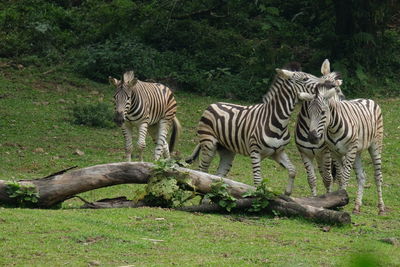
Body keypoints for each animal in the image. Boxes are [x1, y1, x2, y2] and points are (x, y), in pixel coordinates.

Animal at [187, 63, 334, 196]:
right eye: (304, 78)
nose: (329, 85)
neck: (278, 121)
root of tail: (212, 104)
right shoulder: (255, 152)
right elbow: (258, 181)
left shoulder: (277, 152)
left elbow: (293, 170)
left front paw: (287, 192)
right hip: (209, 145)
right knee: (202, 171)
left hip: (226, 150)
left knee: (218, 177)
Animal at [294, 59, 344, 197]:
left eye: (338, 92)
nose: (312, 137)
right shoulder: (304, 153)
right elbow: (311, 179)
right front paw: (314, 198)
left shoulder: (326, 152)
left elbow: (328, 179)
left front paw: (329, 198)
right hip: (318, 156)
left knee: (338, 174)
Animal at [300, 82, 384, 216]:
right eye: (309, 112)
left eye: (323, 112)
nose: (312, 137)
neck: (333, 128)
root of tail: (367, 99)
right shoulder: (335, 152)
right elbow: (339, 176)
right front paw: (339, 200)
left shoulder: (349, 151)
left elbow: (344, 177)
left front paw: (343, 198)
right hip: (357, 151)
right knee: (361, 176)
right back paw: (357, 207)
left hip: (375, 145)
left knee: (378, 176)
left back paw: (381, 208)